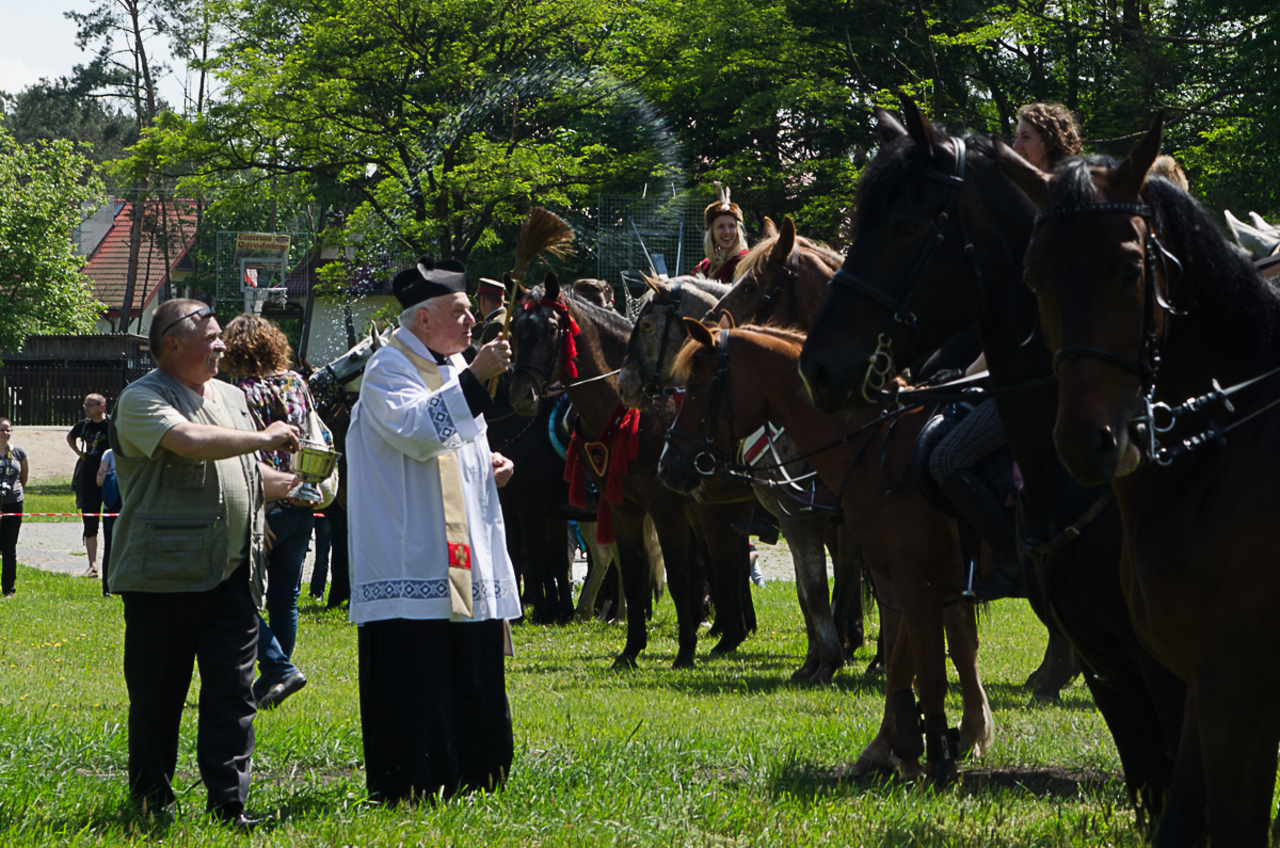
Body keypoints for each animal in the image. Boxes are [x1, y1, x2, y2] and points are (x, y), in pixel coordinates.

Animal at [660, 324, 998, 783]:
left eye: (695, 386)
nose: (667, 466)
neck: (878, 446)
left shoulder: (806, 524)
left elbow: (818, 594)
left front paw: (828, 664)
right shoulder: (915, 572)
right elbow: (922, 647)